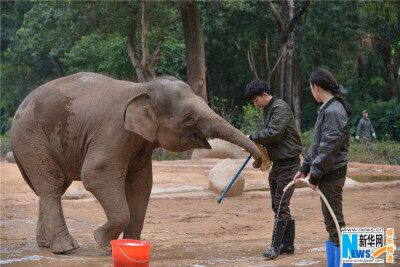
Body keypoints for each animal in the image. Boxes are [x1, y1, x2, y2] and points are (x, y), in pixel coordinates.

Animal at [10, 72, 262, 254]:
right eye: (189, 118)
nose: (258, 162)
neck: (142, 88)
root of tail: (19, 107)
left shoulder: (141, 144)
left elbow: (142, 185)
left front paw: (132, 244)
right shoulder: (113, 133)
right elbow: (95, 175)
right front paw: (102, 243)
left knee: (54, 186)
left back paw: (46, 245)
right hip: (30, 137)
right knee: (52, 183)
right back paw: (66, 249)